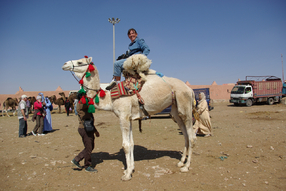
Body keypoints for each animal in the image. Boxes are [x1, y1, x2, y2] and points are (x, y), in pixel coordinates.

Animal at [62, 55, 197, 181]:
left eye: (80, 62)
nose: (64, 64)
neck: (109, 98)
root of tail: (190, 89)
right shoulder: (130, 117)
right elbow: (131, 143)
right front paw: (130, 169)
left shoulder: (123, 116)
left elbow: (125, 145)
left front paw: (126, 175)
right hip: (176, 110)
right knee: (185, 134)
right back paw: (180, 162)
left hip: (185, 105)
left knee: (191, 137)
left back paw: (186, 167)